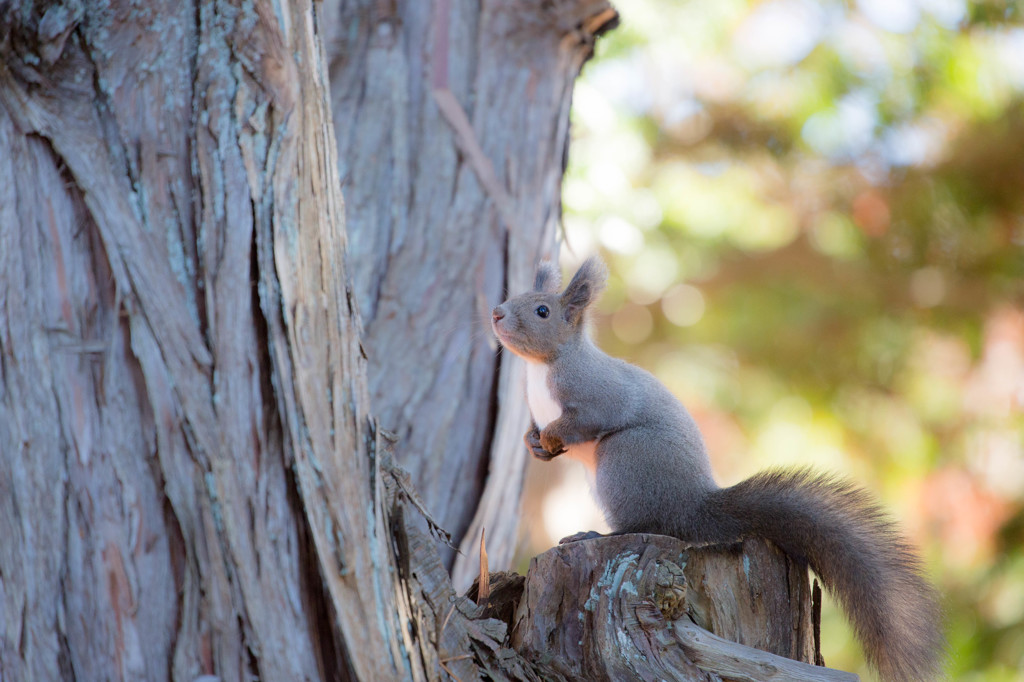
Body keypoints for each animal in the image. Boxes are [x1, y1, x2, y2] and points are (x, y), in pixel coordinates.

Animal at [493, 256, 942, 679]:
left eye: (542, 311)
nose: (496, 313)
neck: (542, 367)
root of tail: (694, 505)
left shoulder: (597, 395)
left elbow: (587, 419)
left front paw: (553, 436)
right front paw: (535, 443)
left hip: (625, 461)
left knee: (647, 522)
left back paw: (597, 533)